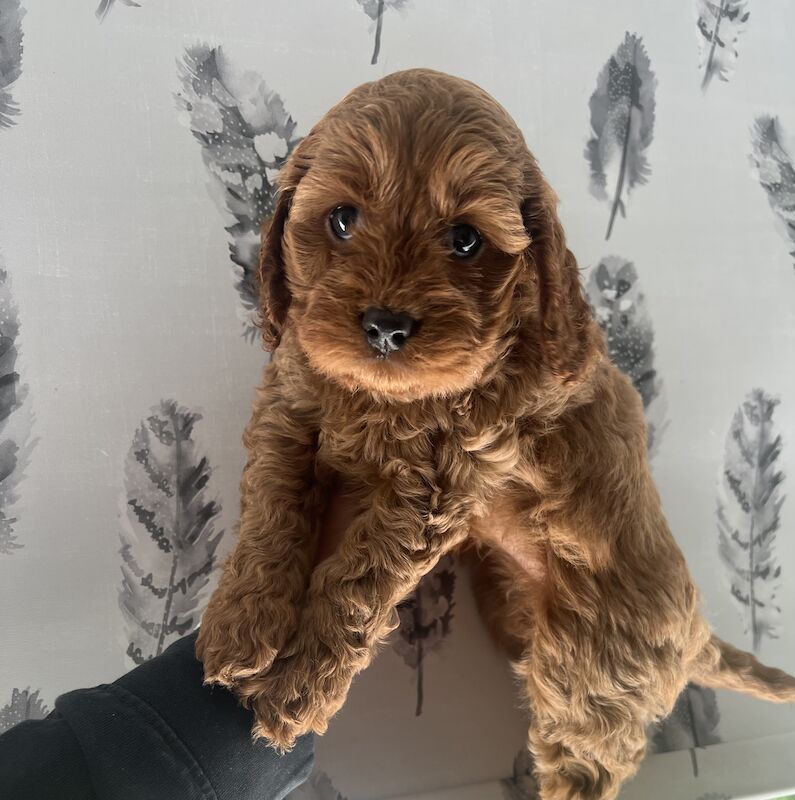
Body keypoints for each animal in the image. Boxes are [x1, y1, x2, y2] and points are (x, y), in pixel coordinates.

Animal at [194, 69, 795, 800]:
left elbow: (354, 583)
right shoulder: (287, 404)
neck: (380, 396)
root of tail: (697, 634)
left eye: (464, 239)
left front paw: (297, 688)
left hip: (589, 681)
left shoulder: (433, 489)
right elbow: (272, 506)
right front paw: (241, 626)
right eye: (341, 219)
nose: (386, 328)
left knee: (588, 763)